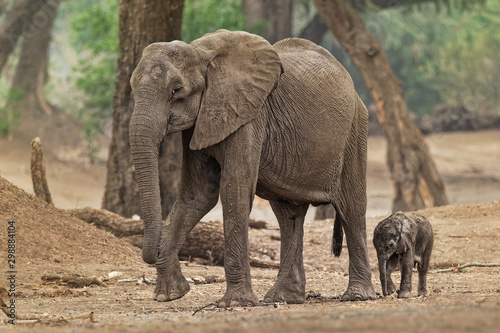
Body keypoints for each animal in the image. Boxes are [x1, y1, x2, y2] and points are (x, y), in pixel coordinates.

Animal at [129, 29, 376, 304]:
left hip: (354, 130)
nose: (150, 253)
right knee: (288, 215)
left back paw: (357, 296)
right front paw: (171, 294)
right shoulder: (201, 121)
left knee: (351, 209)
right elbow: (198, 195)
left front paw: (236, 303)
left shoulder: (249, 115)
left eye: (176, 90)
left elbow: (233, 190)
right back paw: (285, 297)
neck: (201, 52)